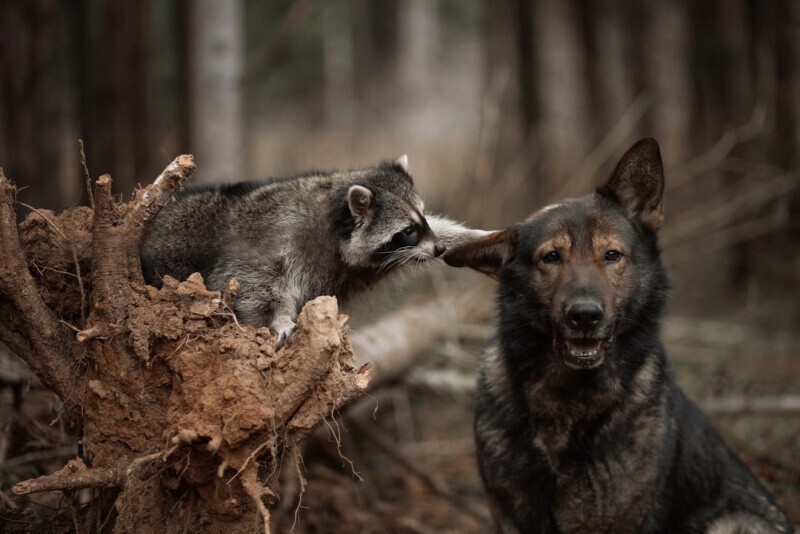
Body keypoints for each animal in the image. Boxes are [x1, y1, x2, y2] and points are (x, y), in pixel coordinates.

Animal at [141, 157, 484, 346]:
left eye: (422, 218)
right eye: (408, 230)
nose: (439, 248)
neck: (331, 220)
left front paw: (469, 235)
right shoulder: (270, 242)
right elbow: (252, 286)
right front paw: (279, 319)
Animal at [444, 140, 792, 532]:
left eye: (612, 255)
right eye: (551, 257)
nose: (584, 316)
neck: (567, 396)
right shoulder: (509, 514)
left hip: (733, 521)